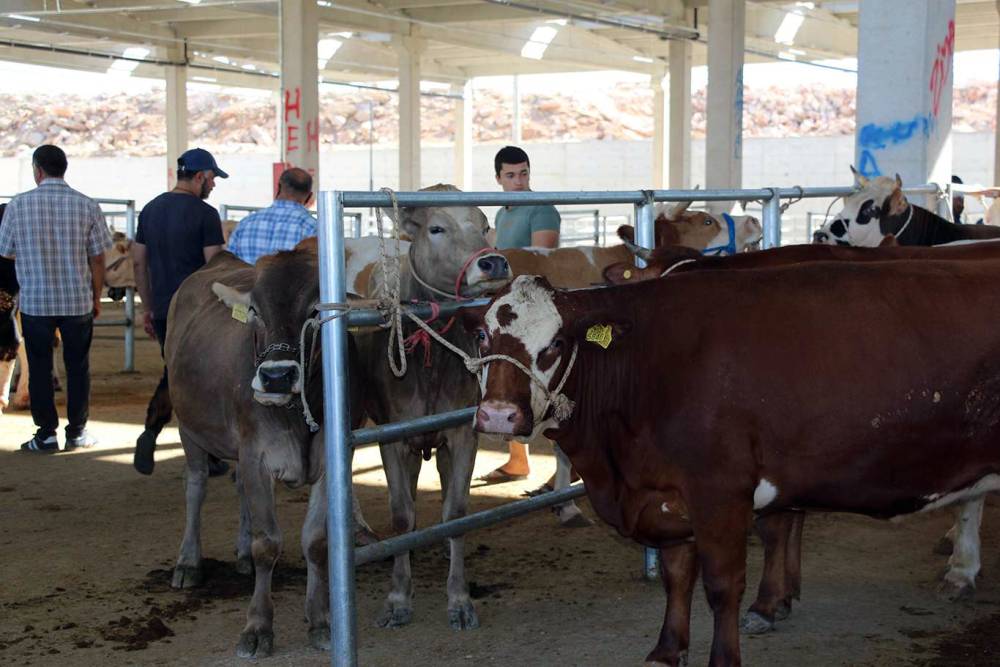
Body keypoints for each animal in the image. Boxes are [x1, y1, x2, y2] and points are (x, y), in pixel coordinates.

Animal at [468, 260, 1000, 667]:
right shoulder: (668, 496)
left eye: (554, 344)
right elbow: (677, 576)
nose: (498, 414)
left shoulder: (719, 492)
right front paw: (667, 651)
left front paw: (724, 657)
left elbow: (723, 586)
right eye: (482, 337)